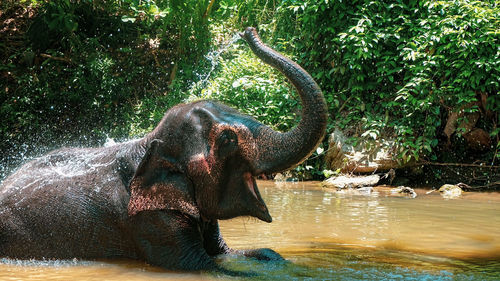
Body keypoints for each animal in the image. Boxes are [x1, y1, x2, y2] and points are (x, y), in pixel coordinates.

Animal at [0, 27, 328, 272]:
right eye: (227, 140)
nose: (247, 30)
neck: (147, 143)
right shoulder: (149, 221)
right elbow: (206, 266)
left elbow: (230, 252)